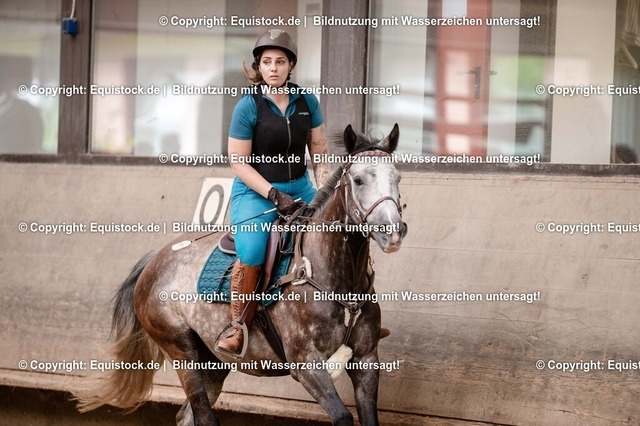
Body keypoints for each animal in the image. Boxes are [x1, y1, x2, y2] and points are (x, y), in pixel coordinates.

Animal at [73, 124, 408, 426]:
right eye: (359, 179)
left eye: (397, 177)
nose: (392, 230)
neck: (332, 275)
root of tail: (154, 261)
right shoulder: (306, 364)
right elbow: (342, 417)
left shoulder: (366, 361)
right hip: (182, 352)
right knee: (203, 416)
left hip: (212, 364)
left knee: (187, 416)